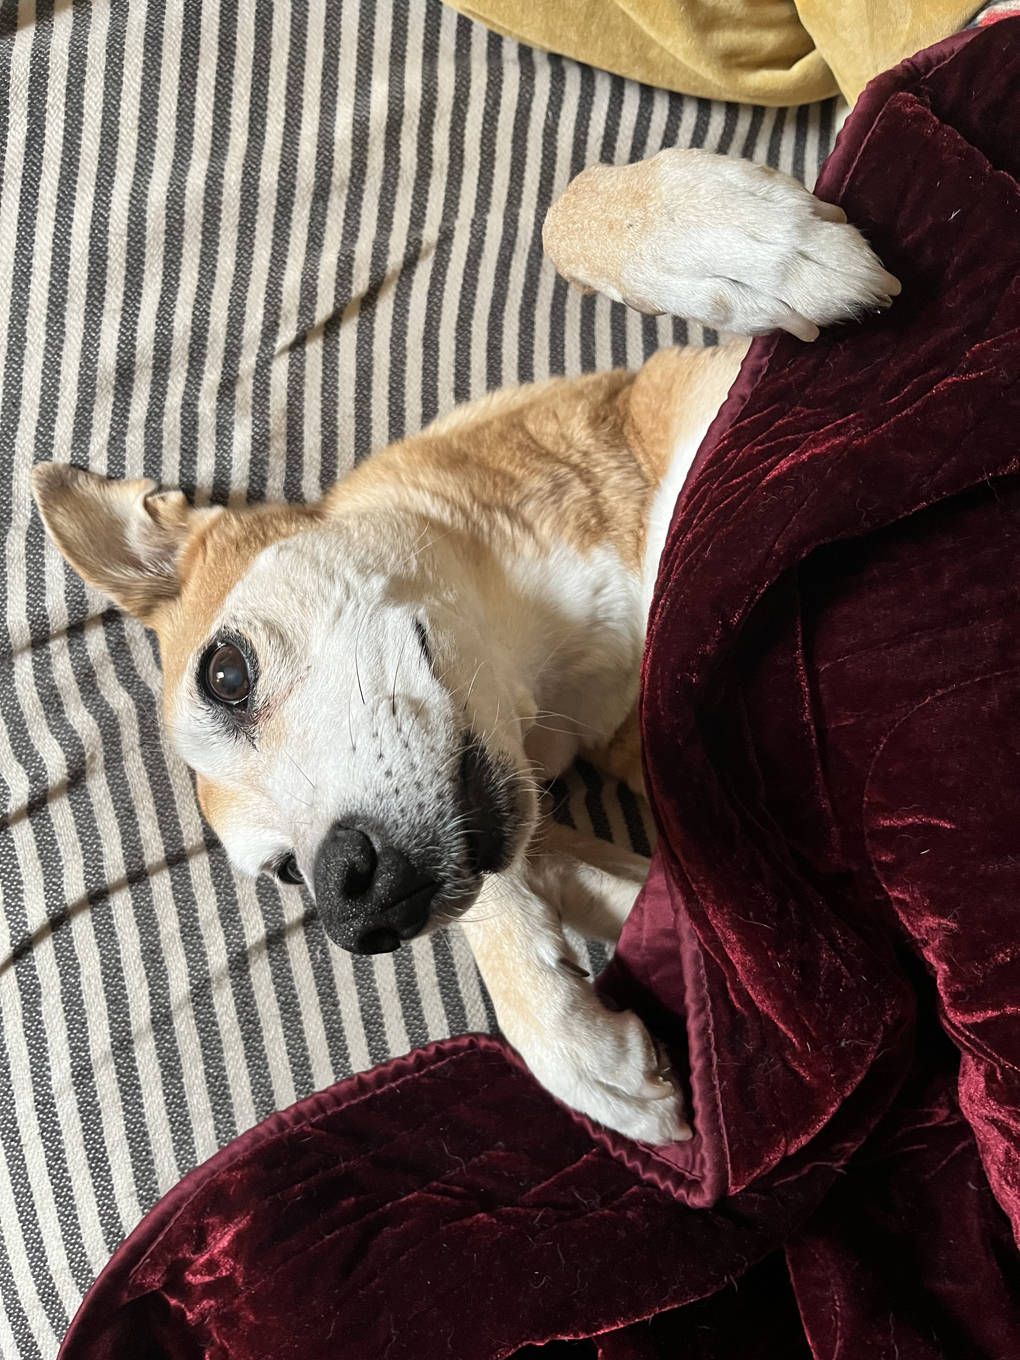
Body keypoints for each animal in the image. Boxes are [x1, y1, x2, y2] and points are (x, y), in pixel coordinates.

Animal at [27, 151, 897, 1147]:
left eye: (227, 673)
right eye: (283, 874)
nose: (357, 911)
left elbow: (565, 213)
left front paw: (744, 244)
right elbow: (595, 892)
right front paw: (563, 1031)